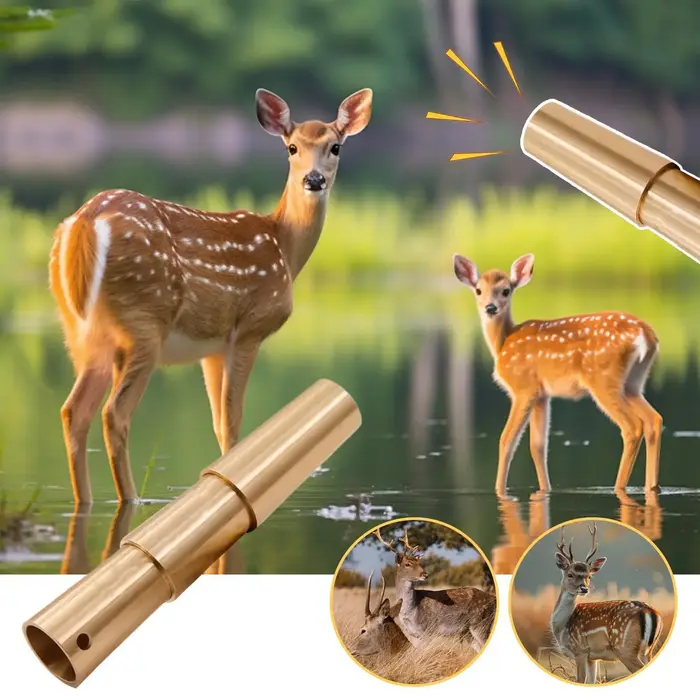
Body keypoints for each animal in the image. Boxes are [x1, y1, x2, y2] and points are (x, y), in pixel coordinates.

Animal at [48, 87, 373, 504]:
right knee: (114, 413)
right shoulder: (249, 329)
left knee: (74, 411)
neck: (284, 247)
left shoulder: (211, 347)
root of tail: (84, 224)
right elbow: (233, 423)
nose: (313, 179)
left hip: (82, 333)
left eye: (335, 146)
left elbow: (218, 424)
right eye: (292, 147)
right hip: (143, 323)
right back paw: (134, 498)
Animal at [452, 253, 663, 497]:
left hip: (603, 379)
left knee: (632, 427)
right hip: (633, 382)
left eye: (506, 290)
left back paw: (619, 487)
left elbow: (507, 439)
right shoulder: (542, 395)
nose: (490, 307)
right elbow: (538, 446)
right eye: (478, 290)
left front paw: (499, 490)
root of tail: (645, 334)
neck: (503, 343)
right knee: (654, 420)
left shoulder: (523, 388)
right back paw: (652, 486)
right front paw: (545, 489)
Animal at [550, 523, 663, 684]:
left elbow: (581, 680)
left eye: (589, 576)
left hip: (625, 648)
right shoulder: (592, 657)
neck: (561, 629)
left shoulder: (580, 650)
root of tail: (650, 612)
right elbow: (591, 682)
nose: (584, 588)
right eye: (570, 574)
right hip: (648, 650)